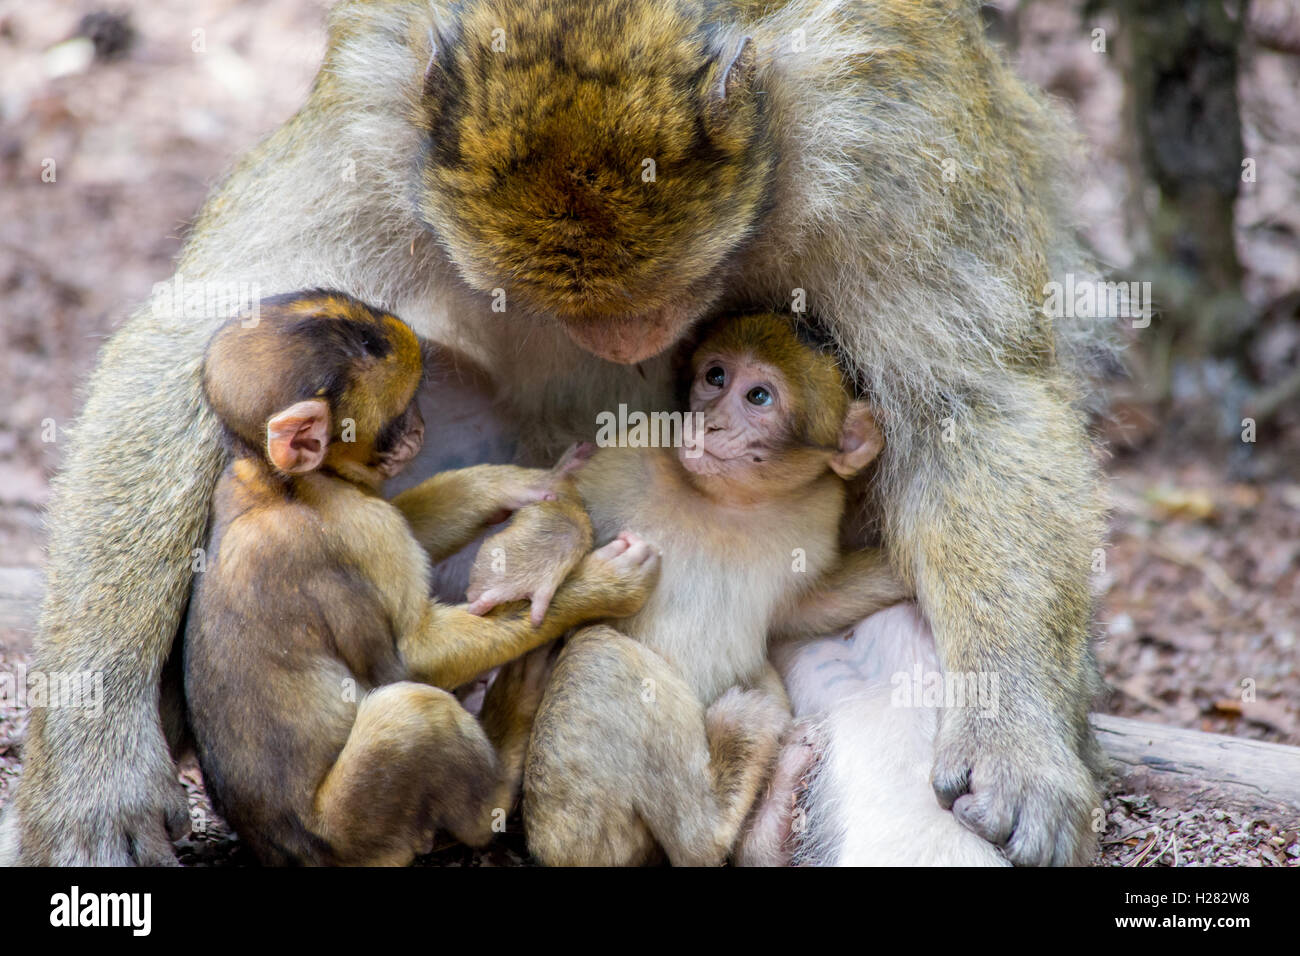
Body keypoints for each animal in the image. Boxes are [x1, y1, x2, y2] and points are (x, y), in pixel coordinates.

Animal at [185, 291, 660, 868]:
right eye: (400, 412)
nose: (420, 430)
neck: (280, 482)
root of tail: (288, 855)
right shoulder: (361, 525)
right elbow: (410, 658)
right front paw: (604, 586)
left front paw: (518, 483)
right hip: (354, 833)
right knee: (413, 711)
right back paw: (499, 774)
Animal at [473, 316, 909, 868]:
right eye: (715, 377)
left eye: (759, 396)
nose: (709, 423)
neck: (727, 502)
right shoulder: (634, 449)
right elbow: (564, 495)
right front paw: (531, 563)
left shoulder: (817, 514)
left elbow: (809, 607)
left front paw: (908, 570)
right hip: (575, 827)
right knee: (601, 657)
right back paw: (714, 808)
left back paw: (769, 824)